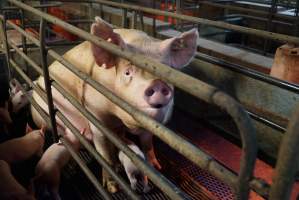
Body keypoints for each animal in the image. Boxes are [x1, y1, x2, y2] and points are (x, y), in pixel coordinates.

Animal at [31, 16, 199, 192]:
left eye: (167, 73)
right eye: (127, 72)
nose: (158, 83)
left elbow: (147, 144)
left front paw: (156, 169)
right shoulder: (95, 116)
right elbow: (104, 153)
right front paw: (112, 188)